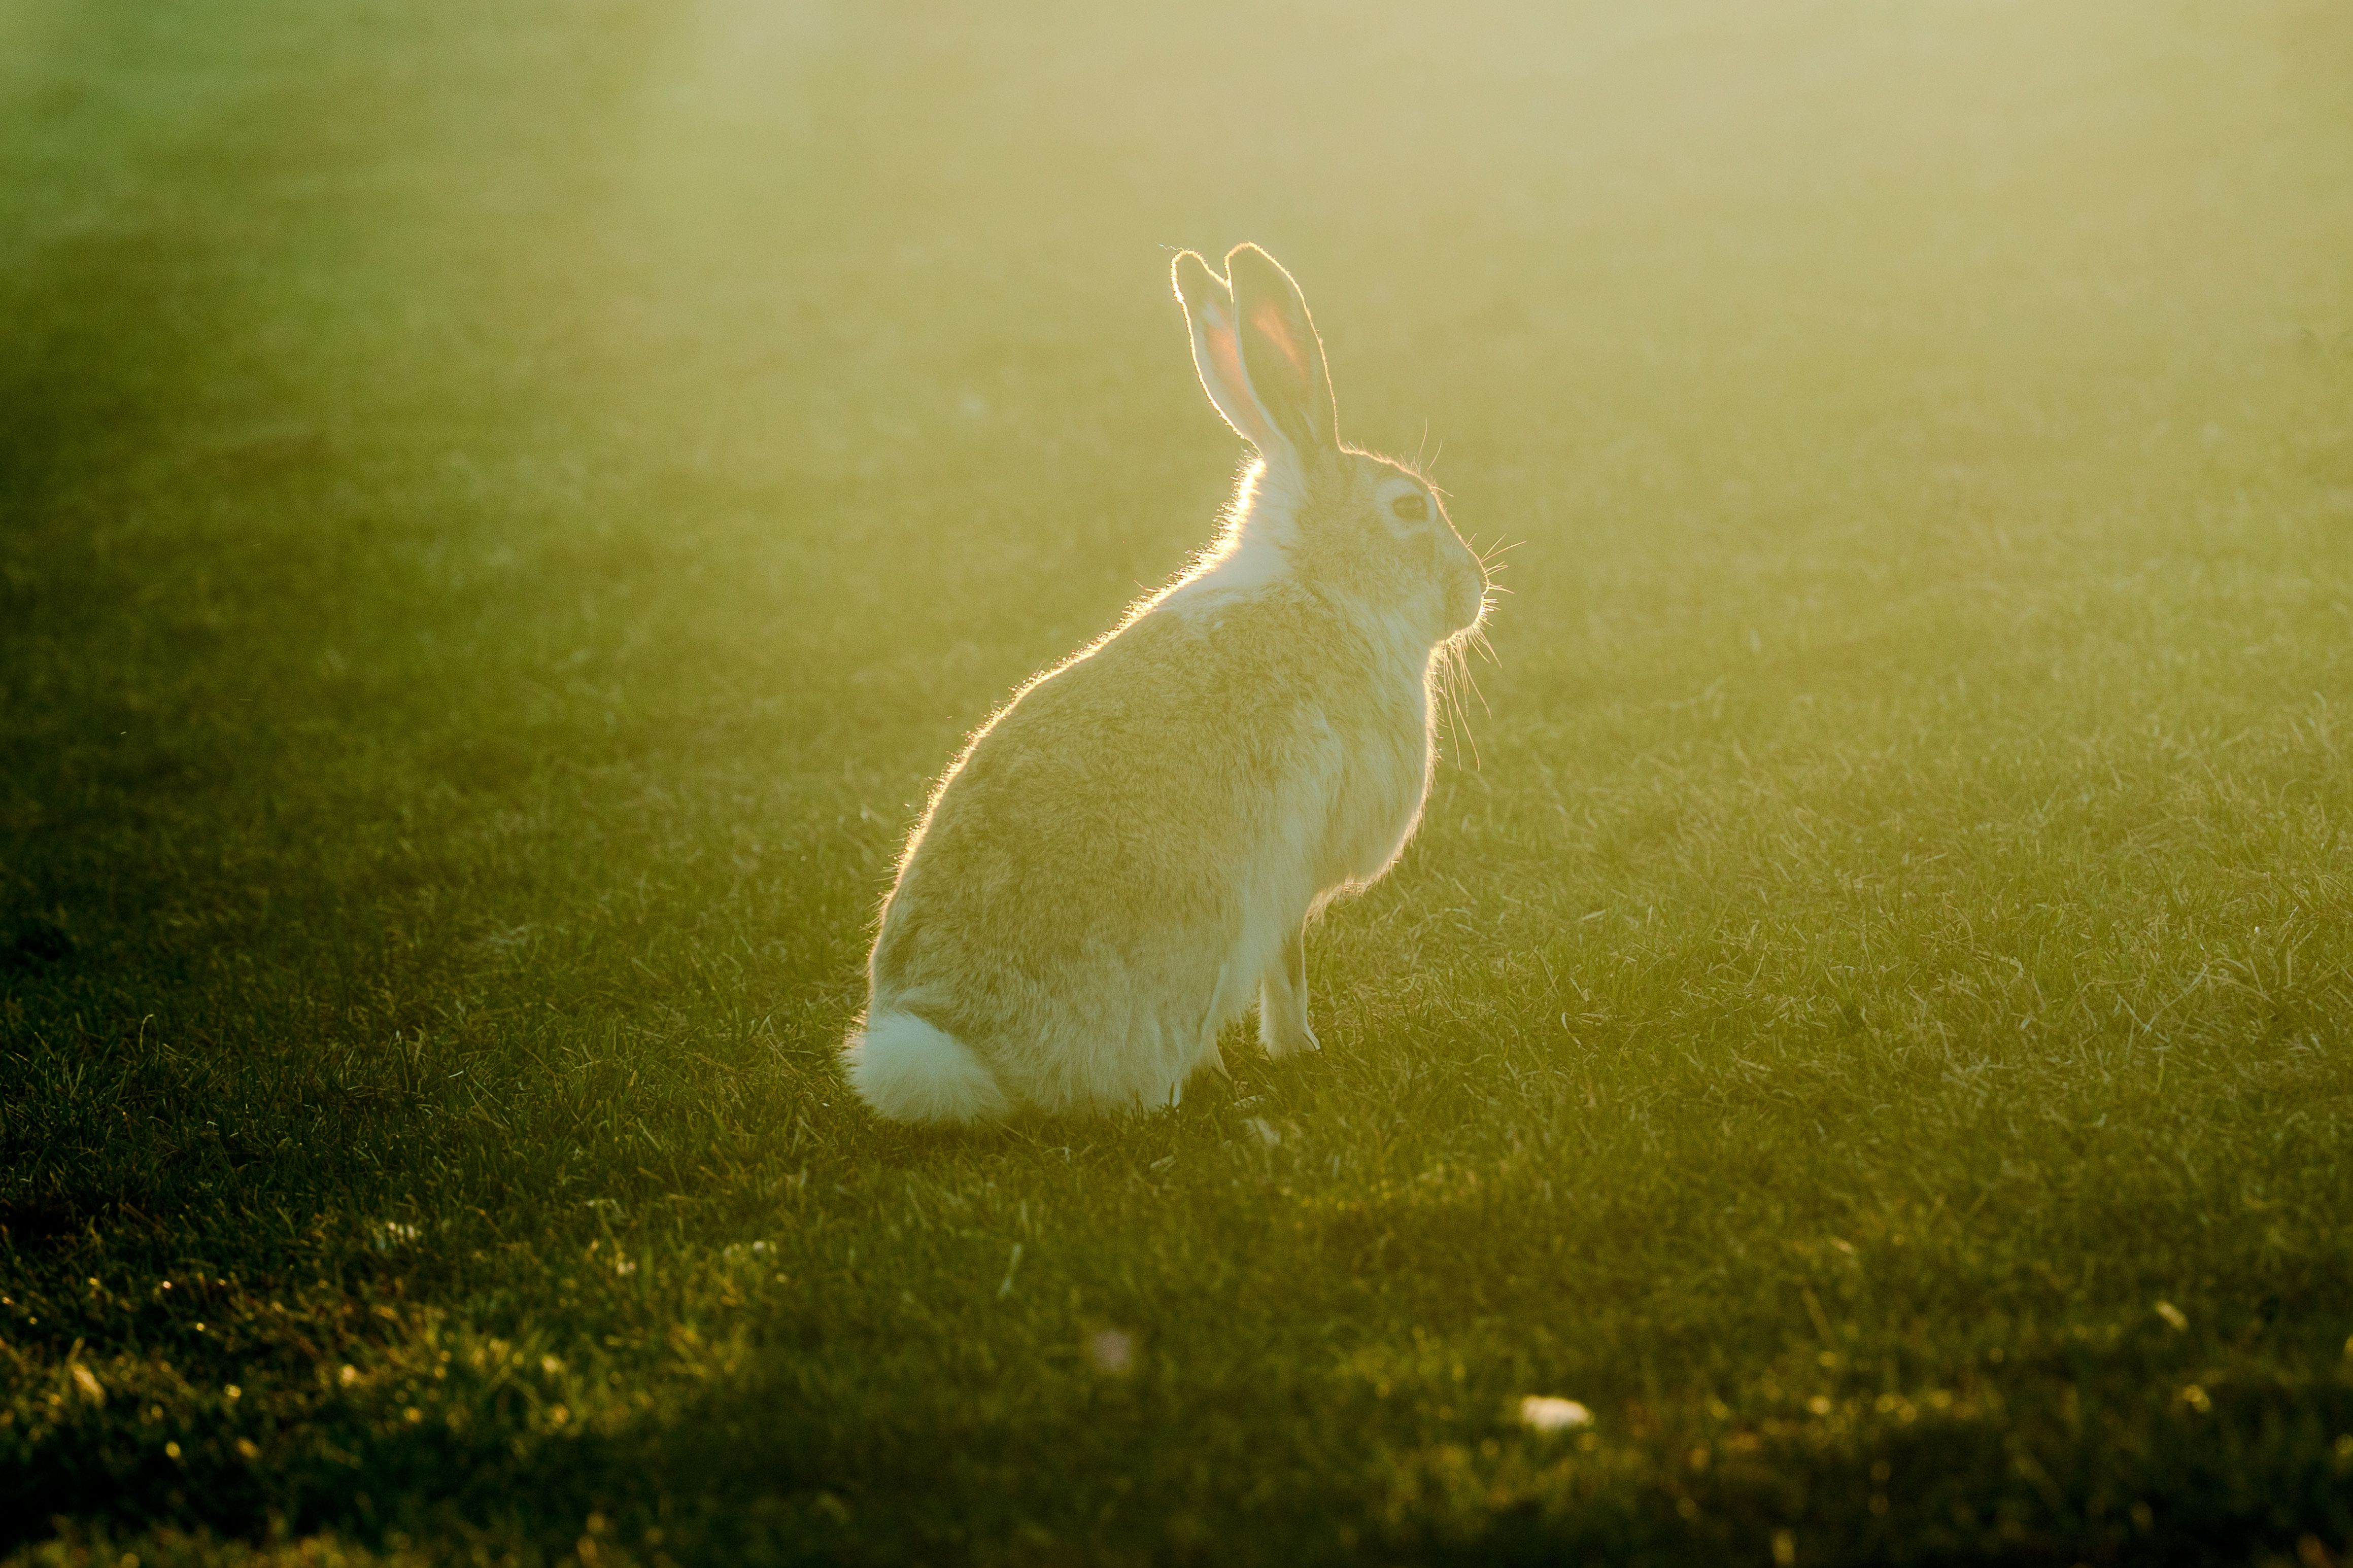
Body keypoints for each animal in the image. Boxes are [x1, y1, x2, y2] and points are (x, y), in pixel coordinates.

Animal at [842, 243, 1490, 1123]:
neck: (1324, 589)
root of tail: (960, 1053)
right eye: (1410, 510)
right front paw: (1299, 1047)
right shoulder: (1290, 874)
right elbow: (1288, 965)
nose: (1475, 589)